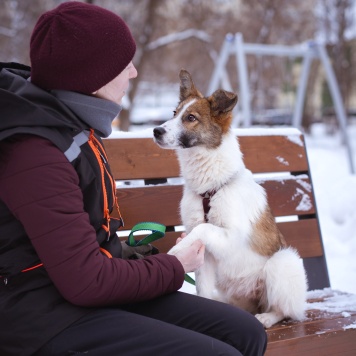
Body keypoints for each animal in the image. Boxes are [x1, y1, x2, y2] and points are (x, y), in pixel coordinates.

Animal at [152, 69, 308, 328]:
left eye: (191, 118)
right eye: (174, 113)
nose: (156, 131)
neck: (210, 187)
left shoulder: (232, 235)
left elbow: (203, 228)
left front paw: (176, 250)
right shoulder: (205, 256)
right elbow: (203, 287)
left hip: (283, 262)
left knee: (285, 310)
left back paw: (267, 317)